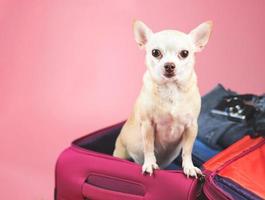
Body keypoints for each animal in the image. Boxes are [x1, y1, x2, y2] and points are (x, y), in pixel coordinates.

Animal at [112, 19, 211, 177]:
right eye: (155, 52)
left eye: (184, 53)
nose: (169, 65)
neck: (171, 88)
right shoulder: (148, 125)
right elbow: (148, 147)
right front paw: (150, 164)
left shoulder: (191, 127)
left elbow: (187, 150)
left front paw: (189, 167)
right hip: (121, 151)